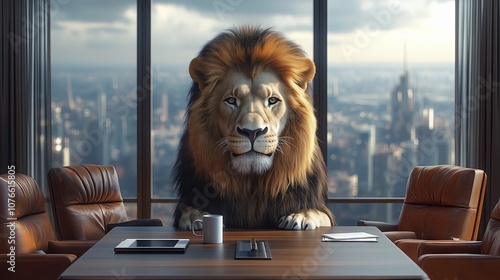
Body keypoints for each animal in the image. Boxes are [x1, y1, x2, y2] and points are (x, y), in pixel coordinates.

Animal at [173, 25, 336, 230]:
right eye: (231, 100)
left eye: (272, 100)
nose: (252, 132)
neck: (252, 185)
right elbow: (187, 210)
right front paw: (197, 215)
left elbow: (320, 214)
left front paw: (301, 215)